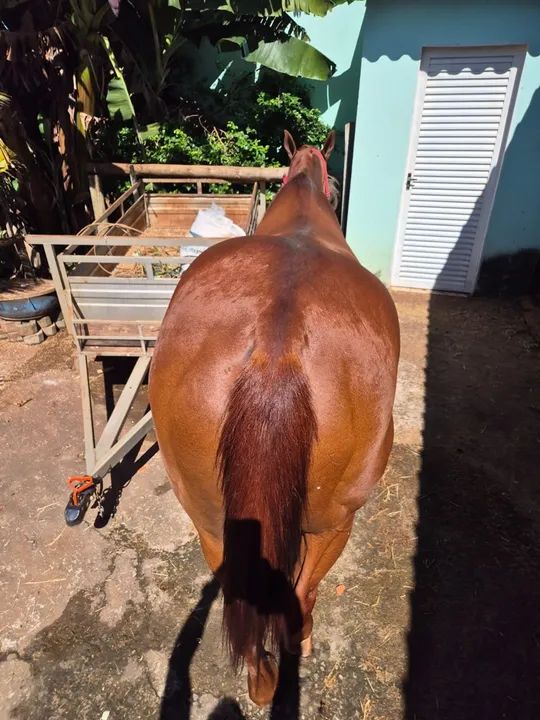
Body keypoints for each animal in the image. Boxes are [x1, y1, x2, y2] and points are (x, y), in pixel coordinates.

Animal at [148, 129, 400, 706]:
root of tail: (276, 342)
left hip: (211, 522)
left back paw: (259, 678)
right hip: (333, 522)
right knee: (302, 595)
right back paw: (290, 653)